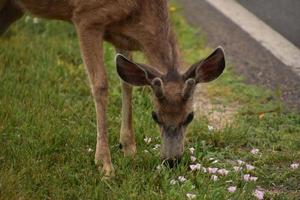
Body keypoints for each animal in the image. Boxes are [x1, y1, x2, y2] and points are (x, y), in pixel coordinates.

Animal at [0, 0, 225, 177]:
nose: (171, 161)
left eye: (190, 116)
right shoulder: (86, 18)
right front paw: (104, 164)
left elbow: (126, 82)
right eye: (155, 116)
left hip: (13, 8)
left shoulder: (122, 35)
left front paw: (129, 148)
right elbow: (100, 84)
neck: (138, 10)